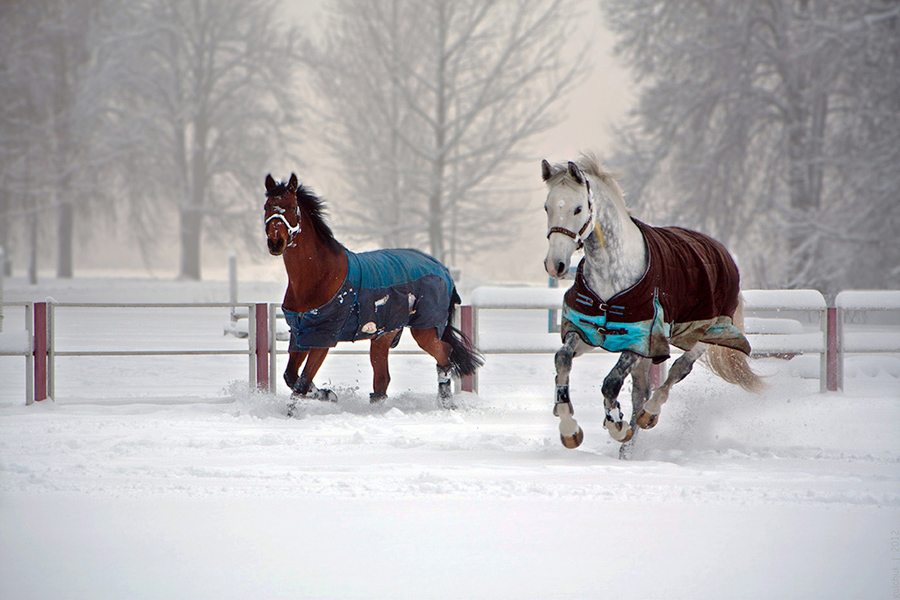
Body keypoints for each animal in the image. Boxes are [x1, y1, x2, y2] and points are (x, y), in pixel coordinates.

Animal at [264, 171, 482, 410]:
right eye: (267, 207)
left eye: (292, 207)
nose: (275, 242)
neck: (319, 275)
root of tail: (444, 270)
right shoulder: (301, 334)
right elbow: (291, 377)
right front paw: (327, 394)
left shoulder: (324, 336)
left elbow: (301, 383)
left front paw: (312, 403)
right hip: (385, 333)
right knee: (382, 379)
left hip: (425, 329)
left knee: (444, 354)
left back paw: (446, 403)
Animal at [544, 155, 764, 454]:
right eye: (547, 206)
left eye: (578, 208)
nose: (555, 265)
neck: (611, 276)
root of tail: (723, 252)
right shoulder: (586, 333)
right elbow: (563, 360)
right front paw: (570, 431)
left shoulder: (641, 340)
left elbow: (611, 383)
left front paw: (617, 426)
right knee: (641, 391)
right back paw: (627, 450)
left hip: (708, 333)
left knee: (677, 370)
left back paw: (647, 416)